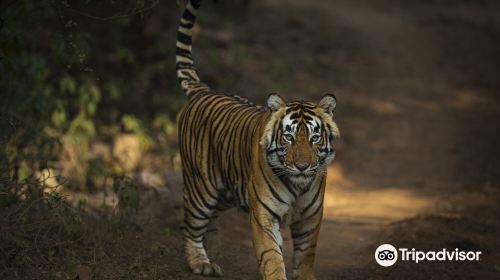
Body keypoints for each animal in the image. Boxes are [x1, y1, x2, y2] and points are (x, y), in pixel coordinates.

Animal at [176, 1, 340, 278]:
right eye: (289, 137)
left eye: (315, 138)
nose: (302, 167)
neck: (298, 185)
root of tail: (203, 91)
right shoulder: (264, 215)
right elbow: (272, 257)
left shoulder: (310, 218)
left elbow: (306, 257)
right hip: (202, 188)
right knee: (190, 224)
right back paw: (201, 262)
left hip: (227, 192)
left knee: (211, 221)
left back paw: (212, 254)